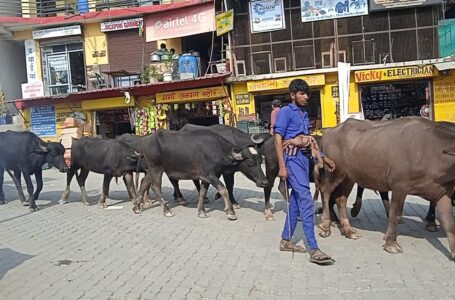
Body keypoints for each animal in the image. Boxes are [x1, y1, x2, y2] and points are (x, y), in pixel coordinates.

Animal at [316, 118, 455, 258]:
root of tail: (329, 131)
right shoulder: (400, 187)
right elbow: (395, 215)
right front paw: (391, 243)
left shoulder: (443, 193)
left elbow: (448, 222)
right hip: (333, 171)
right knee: (325, 191)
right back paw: (325, 225)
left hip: (348, 177)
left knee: (341, 199)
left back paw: (348, 230)